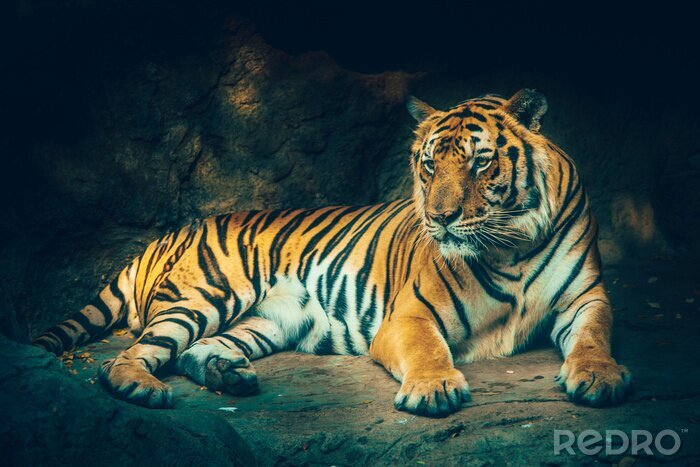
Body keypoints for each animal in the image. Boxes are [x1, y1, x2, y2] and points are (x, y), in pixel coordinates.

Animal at [34, 89, 631, 416]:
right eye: (429, 164)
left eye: (479, 162)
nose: (439, 218)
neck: (511, 246)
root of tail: (172, 233)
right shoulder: (409, 316)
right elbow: (429, 350)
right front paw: (434, 388)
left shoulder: (587, 299)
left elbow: (594, 338)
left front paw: (600, 377)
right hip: (205, 296)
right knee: (125, 358)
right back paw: (144, 388)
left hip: (268, 321)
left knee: (193, 352)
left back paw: (231, 377)